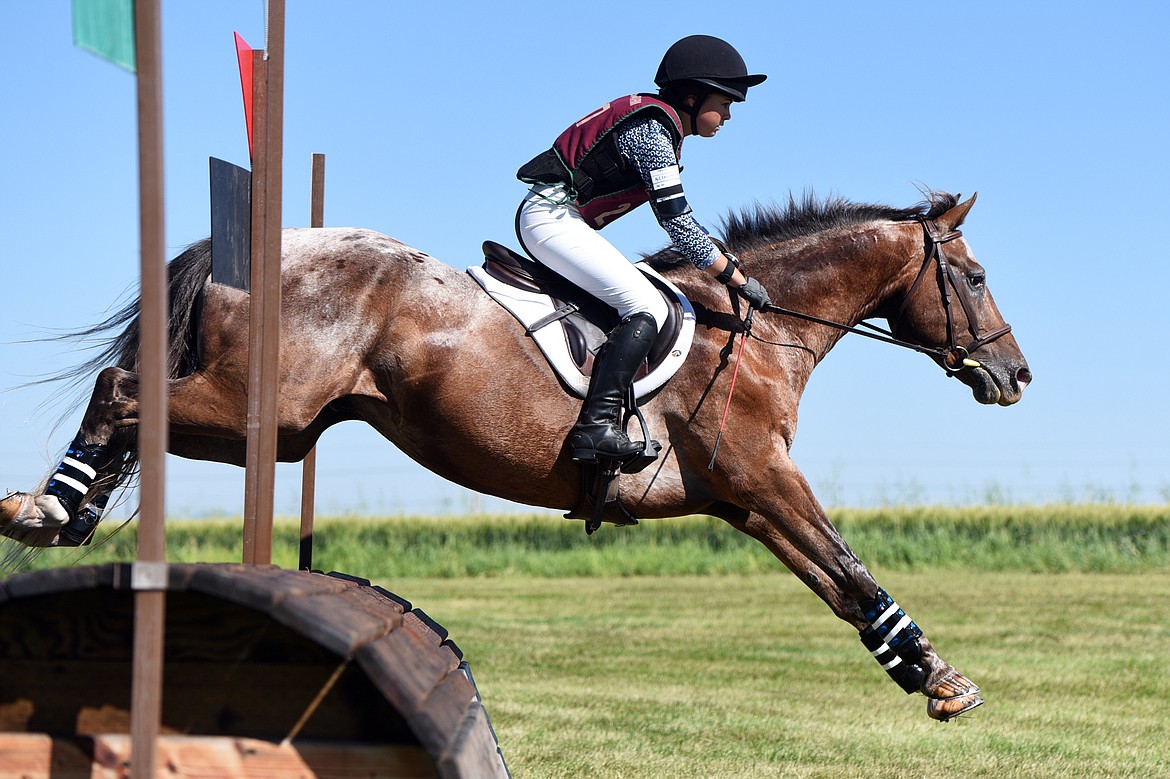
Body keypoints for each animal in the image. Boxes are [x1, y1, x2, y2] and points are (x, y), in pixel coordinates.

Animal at [0, 190, 1029, 720]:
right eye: (976, 276)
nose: (1014, 374)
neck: (758, 324)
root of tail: (243, 248)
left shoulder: (743, 500)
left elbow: (836, 583)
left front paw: (920, 673)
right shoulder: (765, 478)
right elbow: (852, 565)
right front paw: (946, 681)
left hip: (278, 427)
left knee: (137, 408)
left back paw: (67, 509)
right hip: (266, 408)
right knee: (123, 391)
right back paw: (45, 508)